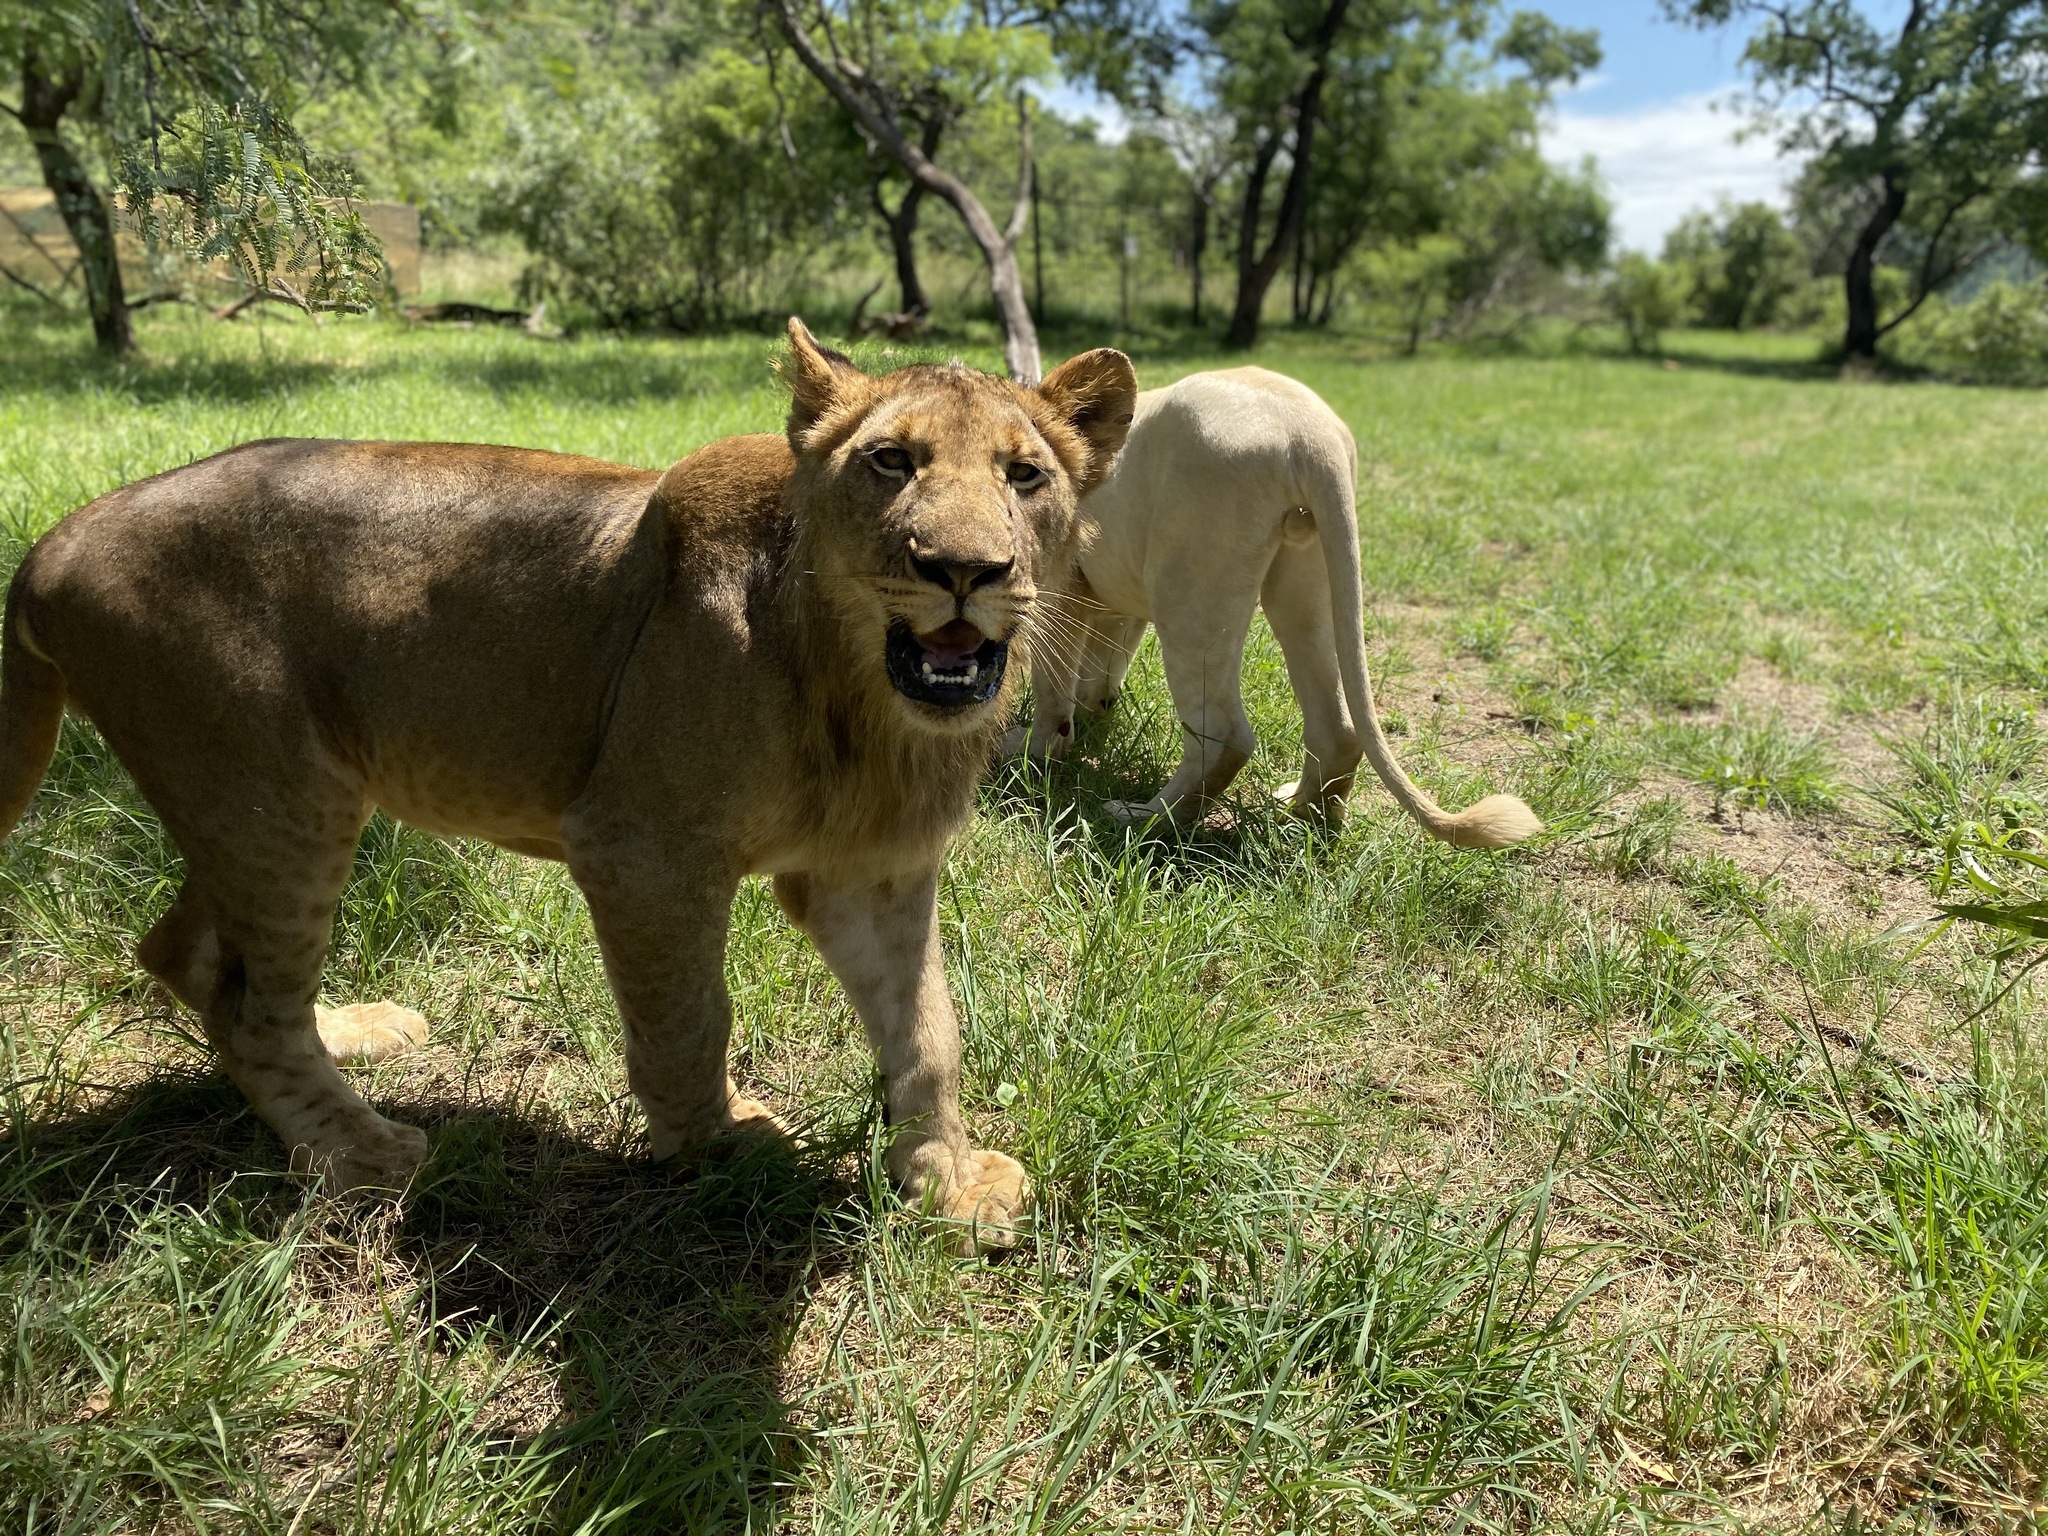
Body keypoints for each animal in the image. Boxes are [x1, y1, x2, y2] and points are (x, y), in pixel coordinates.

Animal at [0, 321, 1138, 1253]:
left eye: (1025, 477)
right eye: (890, 461)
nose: (965, 570)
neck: (867, 704)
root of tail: (52, 542)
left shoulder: (873, 869)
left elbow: (928, 1031)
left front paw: (947, 1177)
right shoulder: (643, 851)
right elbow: (689, 1014)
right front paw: (717, 1148)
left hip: (251, 802)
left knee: (186, 953)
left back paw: (354, 1035)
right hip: (274, 792)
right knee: (244, 998)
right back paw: (365, 1152)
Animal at [1019, 370, 1540, 856]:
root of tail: (1310, 432)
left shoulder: (1059, 594)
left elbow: (1053, 690)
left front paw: (1032, 755)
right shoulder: (1112, 602)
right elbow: (1099, 675)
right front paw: (1089, 726)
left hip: (1189, 579)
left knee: (1223, 734)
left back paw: (1139, 820)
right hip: (1307, 579)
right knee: (1338, 728)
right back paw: (1303, 818)